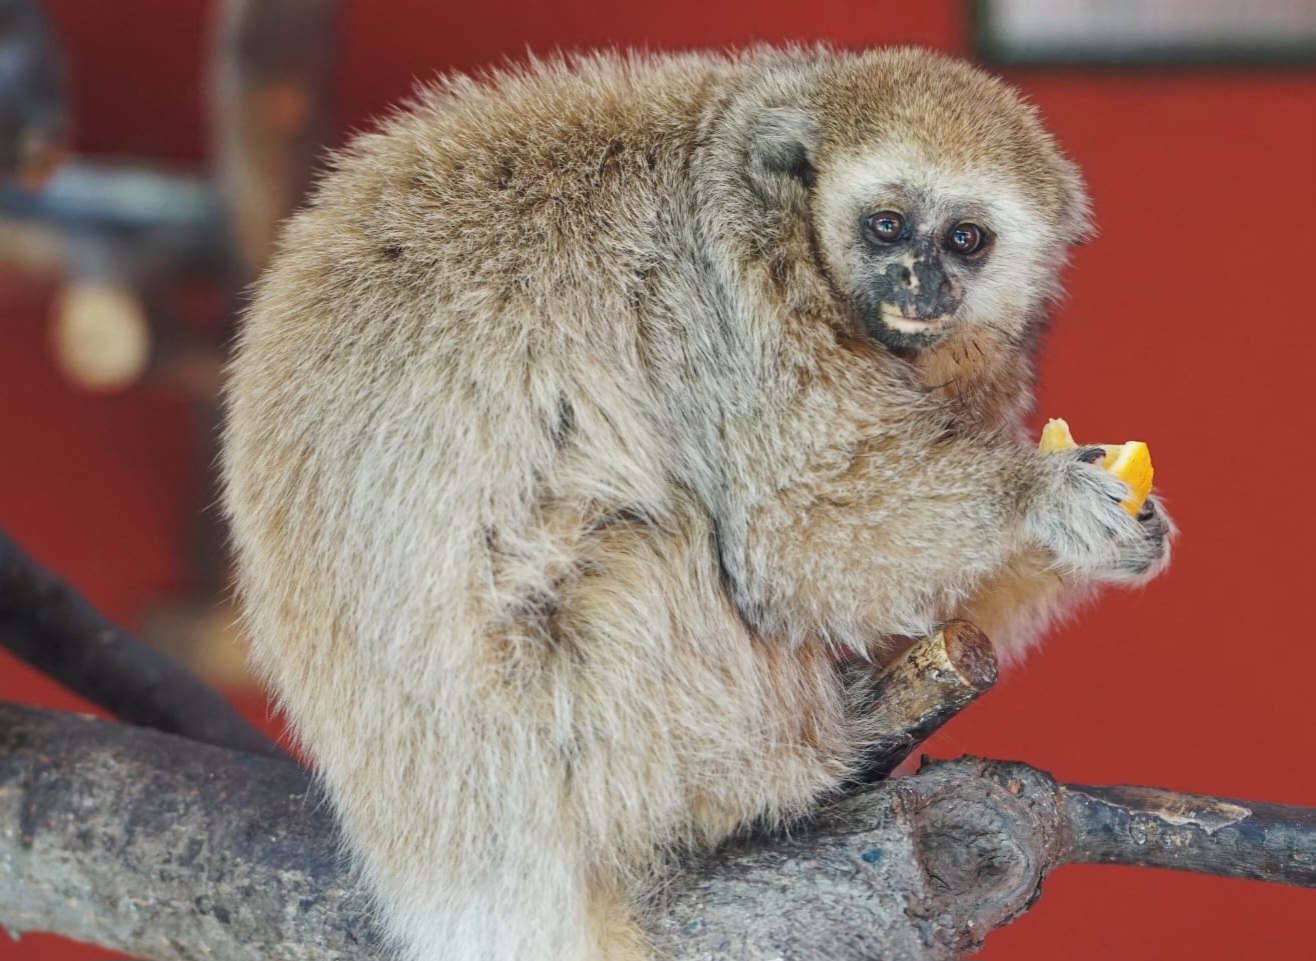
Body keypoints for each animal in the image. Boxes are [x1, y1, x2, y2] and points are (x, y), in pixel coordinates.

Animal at [221, 46, 1172, 961]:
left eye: (967, 239)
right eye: (887, 225)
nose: (918, 282)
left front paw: (1125, 534)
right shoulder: (732, 290)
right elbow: (794, 540)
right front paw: (1043, 497)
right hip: (576, 741)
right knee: (659, 539)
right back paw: (807, 762)